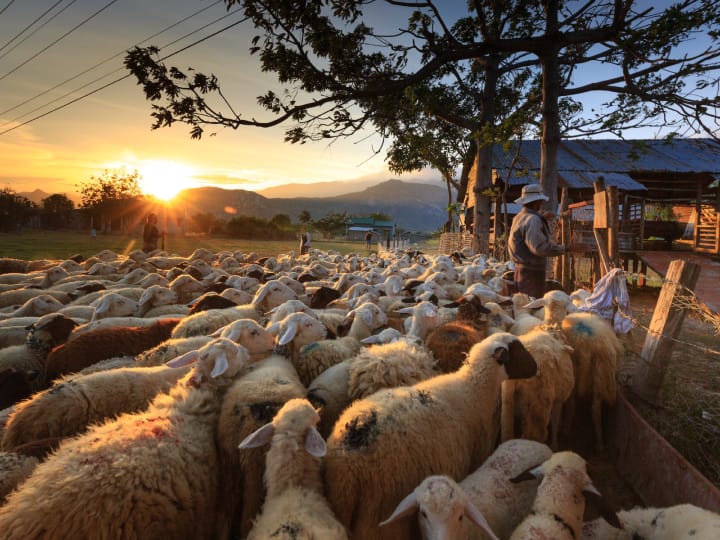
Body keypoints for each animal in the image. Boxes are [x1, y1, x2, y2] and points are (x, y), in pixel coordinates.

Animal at [324, 332, 536, 540]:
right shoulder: (478, 452)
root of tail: (347, 462)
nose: (536, 368)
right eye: (517, 349)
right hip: (379, 512)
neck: (474, 387)